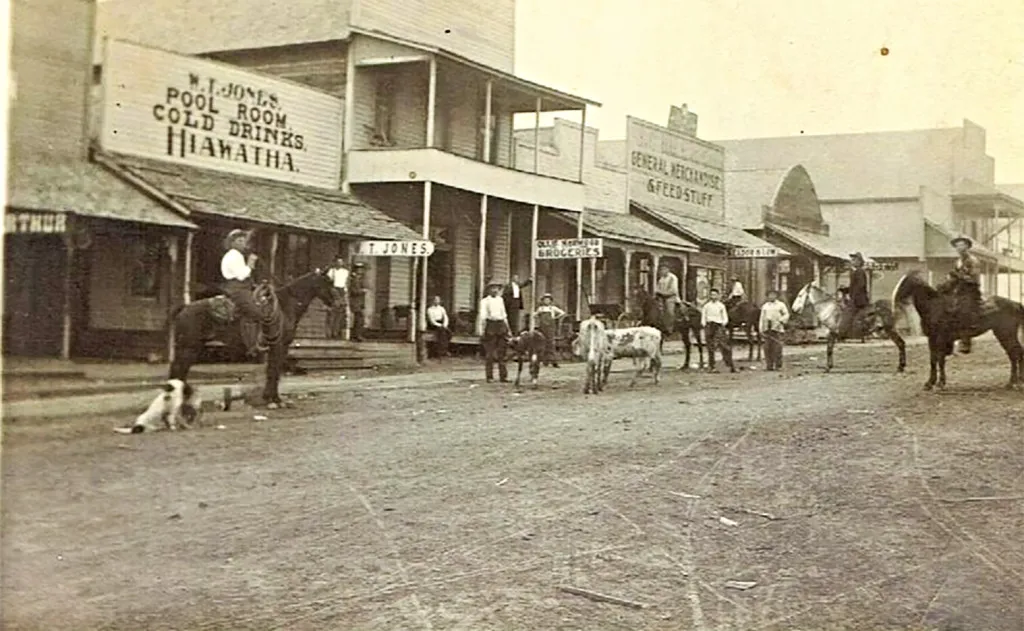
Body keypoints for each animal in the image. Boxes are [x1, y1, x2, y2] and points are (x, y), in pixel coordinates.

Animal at [169, 268, 333, 407]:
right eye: (328, 282)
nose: (337, 302)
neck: (286, 306)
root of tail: (185, 307)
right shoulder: (278, 346)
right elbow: (274, 372)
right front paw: (274, 400)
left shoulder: (279, 348)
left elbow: (272, 372)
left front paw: (269, 398)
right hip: (188, 348)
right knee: (178, 370)